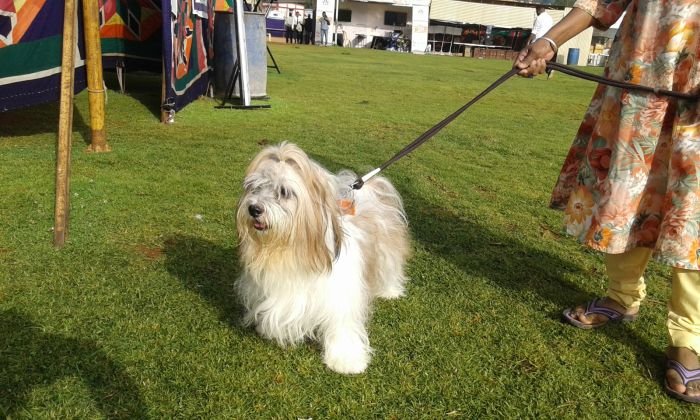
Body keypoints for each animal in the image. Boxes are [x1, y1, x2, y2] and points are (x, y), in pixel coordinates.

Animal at [237, 142, 410, 374]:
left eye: (283, 192)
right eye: (254, 188)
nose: (254, 208)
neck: (292, 249)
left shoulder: (341, 298)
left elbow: (342, 326)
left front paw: (346, 359)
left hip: (386, 254)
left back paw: (390, 291)